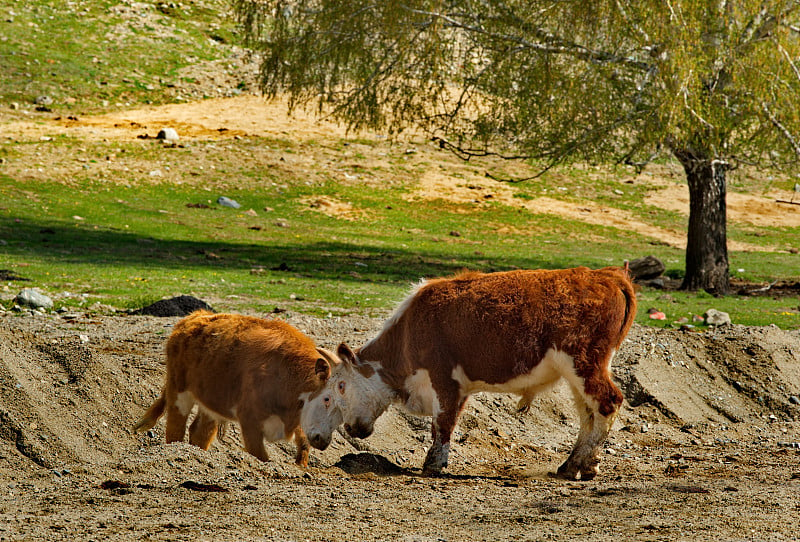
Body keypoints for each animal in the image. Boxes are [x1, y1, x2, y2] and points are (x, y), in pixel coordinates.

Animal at [134, 312, 338, 470]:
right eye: (327, 399)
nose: (323, 440)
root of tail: (194, 316)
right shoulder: (250, 421)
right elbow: (261, 457)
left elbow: (303, 446)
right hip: (179, 391)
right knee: (175, 429)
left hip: (211, 400)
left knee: (200, 431)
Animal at [304, 268, 636, 480]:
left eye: (339, 387)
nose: (347, 429)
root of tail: (608, 275)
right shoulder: (459, 388)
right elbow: (446, 422)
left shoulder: (443, 380)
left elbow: (442, 423)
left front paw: (433, 464)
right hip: (583, 372)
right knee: (588, 413)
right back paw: (576, 465)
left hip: (583, 364)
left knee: (608, 402)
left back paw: (582, 465)